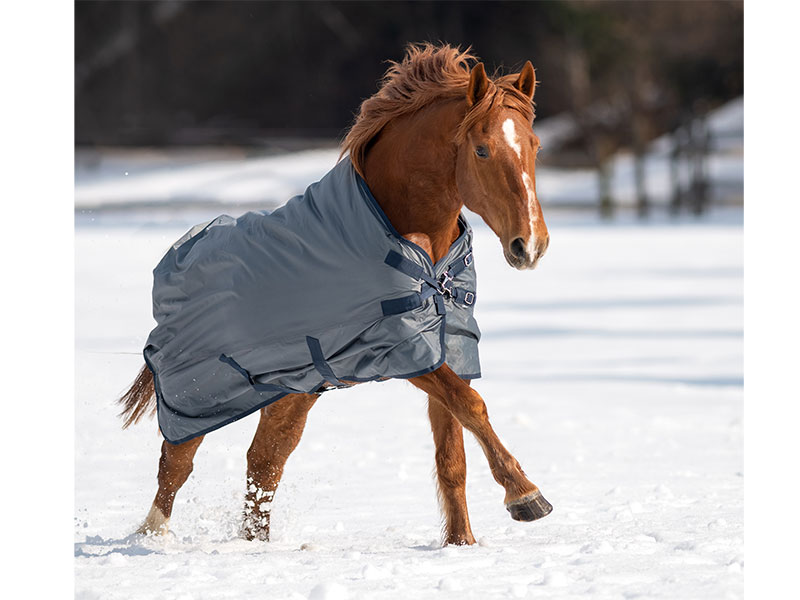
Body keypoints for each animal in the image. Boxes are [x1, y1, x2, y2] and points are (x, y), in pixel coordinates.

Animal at [118, 43, 551, 547]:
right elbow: (472, 406)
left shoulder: (445, 345)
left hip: (291, 391)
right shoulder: (399, 348)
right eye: (482, 149)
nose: (530, 245)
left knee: (264, 462)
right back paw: (153, 539)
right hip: (198, 394)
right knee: (176, 463)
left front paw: (461, 543)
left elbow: (453, 451)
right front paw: (525, 496)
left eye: (535, 146)